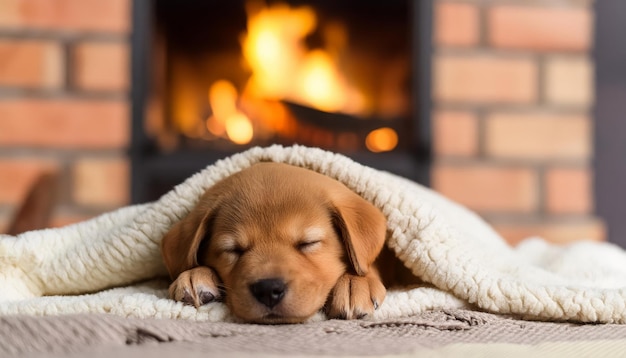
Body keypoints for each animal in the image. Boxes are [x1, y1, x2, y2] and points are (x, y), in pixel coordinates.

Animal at [160, 162, 386, 324]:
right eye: (234, 250)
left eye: (308, 243)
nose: (268, 290)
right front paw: (194, 274)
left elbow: (367, 265)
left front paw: (355, 283)